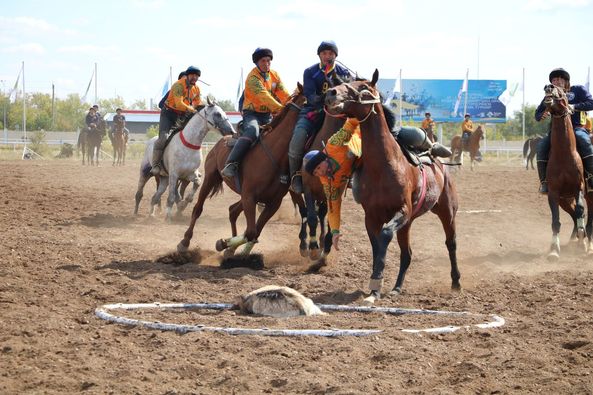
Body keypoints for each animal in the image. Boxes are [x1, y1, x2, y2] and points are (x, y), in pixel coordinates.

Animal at [175, 84, 306, 256]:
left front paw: (232, 247)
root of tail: (220, 143)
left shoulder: (272, 202)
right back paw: (184, 241)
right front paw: (223, 243)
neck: (275, 154)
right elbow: (251, 232)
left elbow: (255, 232)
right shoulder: (249, 196)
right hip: (211, 178)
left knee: (232, 211)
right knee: (198, 208)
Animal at [322, 70, 460, 306]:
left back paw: (456, 282)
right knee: (407, 254)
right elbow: (377, 246)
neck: (384, 166)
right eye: (345, 83)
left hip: (446, 211)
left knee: (450, 243)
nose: (331, 93)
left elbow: (385, 236)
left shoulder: (402, 211)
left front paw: (376, 283)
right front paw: (374, 287)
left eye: (363, 88)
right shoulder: (372, 216)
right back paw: (396, 288)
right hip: (408, 223)